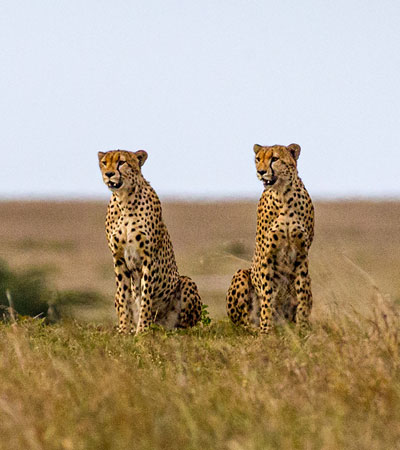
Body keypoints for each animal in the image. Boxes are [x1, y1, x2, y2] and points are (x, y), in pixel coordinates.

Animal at [97, 149, 203, 334]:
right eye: (104, 163)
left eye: (121, 162)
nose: (109, 174)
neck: (124, 199)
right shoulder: (118, 258)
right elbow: (123, 296)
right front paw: (124, 330)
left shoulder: (148, 257)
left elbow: (146, 296)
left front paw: (142, 330)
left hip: (185, 282)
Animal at [227, 144, 314, 334]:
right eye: (258, 159)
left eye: (274, 159)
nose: (260, 172)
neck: (283, 195)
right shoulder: (267, 255)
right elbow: (267, 295)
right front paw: (266, 330)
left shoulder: (302, 254)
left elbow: (302, 293)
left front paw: (303, 328)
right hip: (241, 274)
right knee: (243, 324)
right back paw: (257, 328)